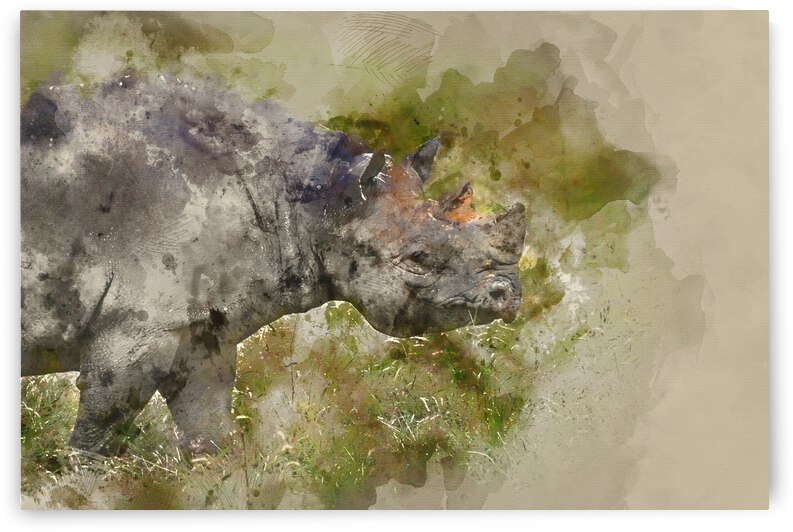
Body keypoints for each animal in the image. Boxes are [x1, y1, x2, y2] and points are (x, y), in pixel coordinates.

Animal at [21, 70, 526, 456]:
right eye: (418, 260)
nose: (510, 294)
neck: (317, 201)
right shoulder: (132, 326)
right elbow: (102, 425)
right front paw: (82, 487)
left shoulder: (201, 328)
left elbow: (208, 425)